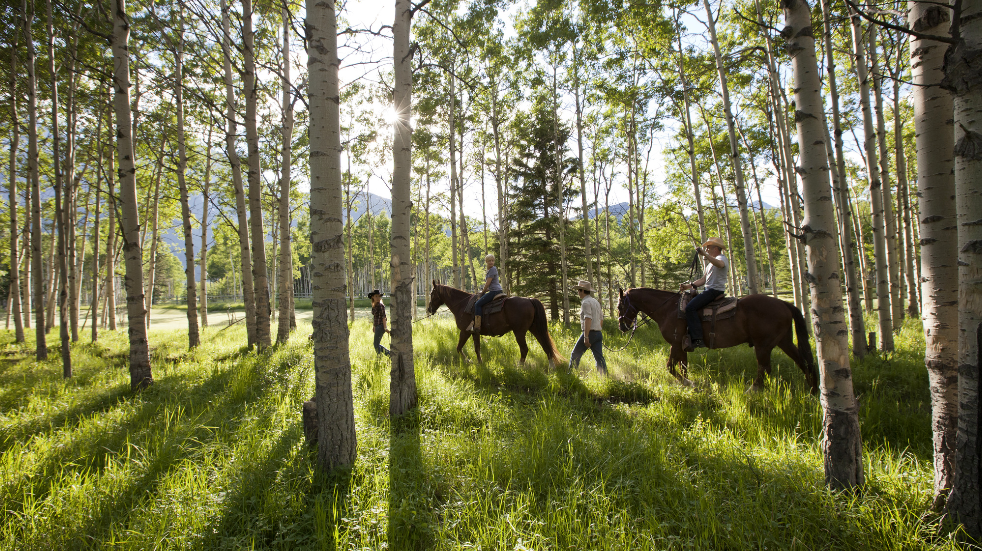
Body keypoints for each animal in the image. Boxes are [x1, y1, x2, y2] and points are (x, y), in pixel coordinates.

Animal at [426, 282, 564, 368]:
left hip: (519, 332)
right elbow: (477, 348)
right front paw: (480, 363)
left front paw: (468, 361)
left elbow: (459, 348)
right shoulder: (474, 332)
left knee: (524, 349)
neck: (462, 305)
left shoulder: (465, 331)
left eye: (432, 294)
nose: (429, 309)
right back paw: (551, 366)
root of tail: (529, 299)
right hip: (535, 328)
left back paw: (520, 367)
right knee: (545, 344)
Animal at [620, 286, 820, 394]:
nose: (622, 326)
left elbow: (670, 366)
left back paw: (752, 391)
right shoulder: (682, 345)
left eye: (621, 305)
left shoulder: (675, 343)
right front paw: (688, 384)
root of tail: (783, 303)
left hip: (763, 345)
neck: (668, 309)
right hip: (783, 341)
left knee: (764, 368)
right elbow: (683, 367)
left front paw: (688, 383)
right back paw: (813, 390)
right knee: (802, 361)